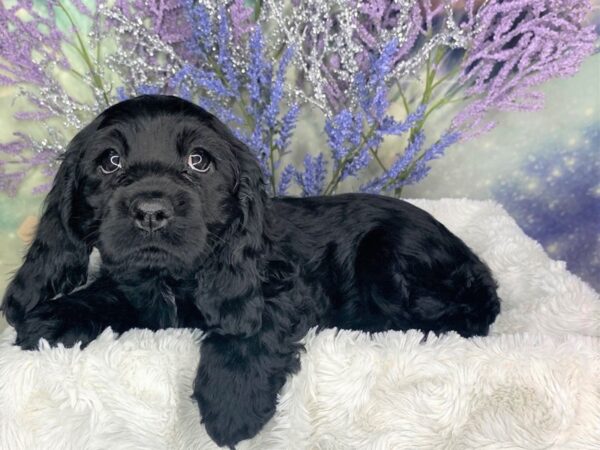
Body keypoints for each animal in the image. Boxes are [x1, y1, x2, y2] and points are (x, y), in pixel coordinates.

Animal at [2, 94, 500, 446]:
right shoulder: (134, 287)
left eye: (198, 161)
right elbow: (105, 295)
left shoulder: (285, 284)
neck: (173, 278)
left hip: (389, 254)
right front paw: (50, 319)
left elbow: (251, 320)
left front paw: (231, 404)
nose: (150, 212)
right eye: (110, 161)